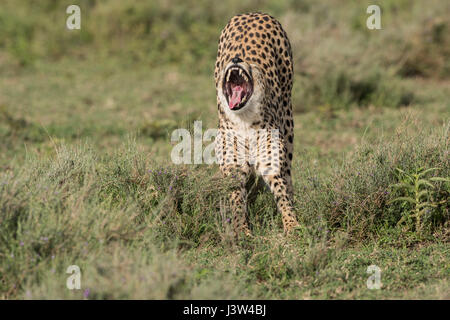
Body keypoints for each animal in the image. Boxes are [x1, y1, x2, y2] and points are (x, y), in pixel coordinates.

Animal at [214, 11, 298, 235]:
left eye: (248, 63)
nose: (236, 59)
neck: (244, 119)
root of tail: (253, 13)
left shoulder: (271, 161)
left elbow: (282, 194)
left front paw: (292, 225)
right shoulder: (233, 166)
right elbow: (236, 199)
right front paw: (240, 228)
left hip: (287, 119)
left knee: (288, 173)